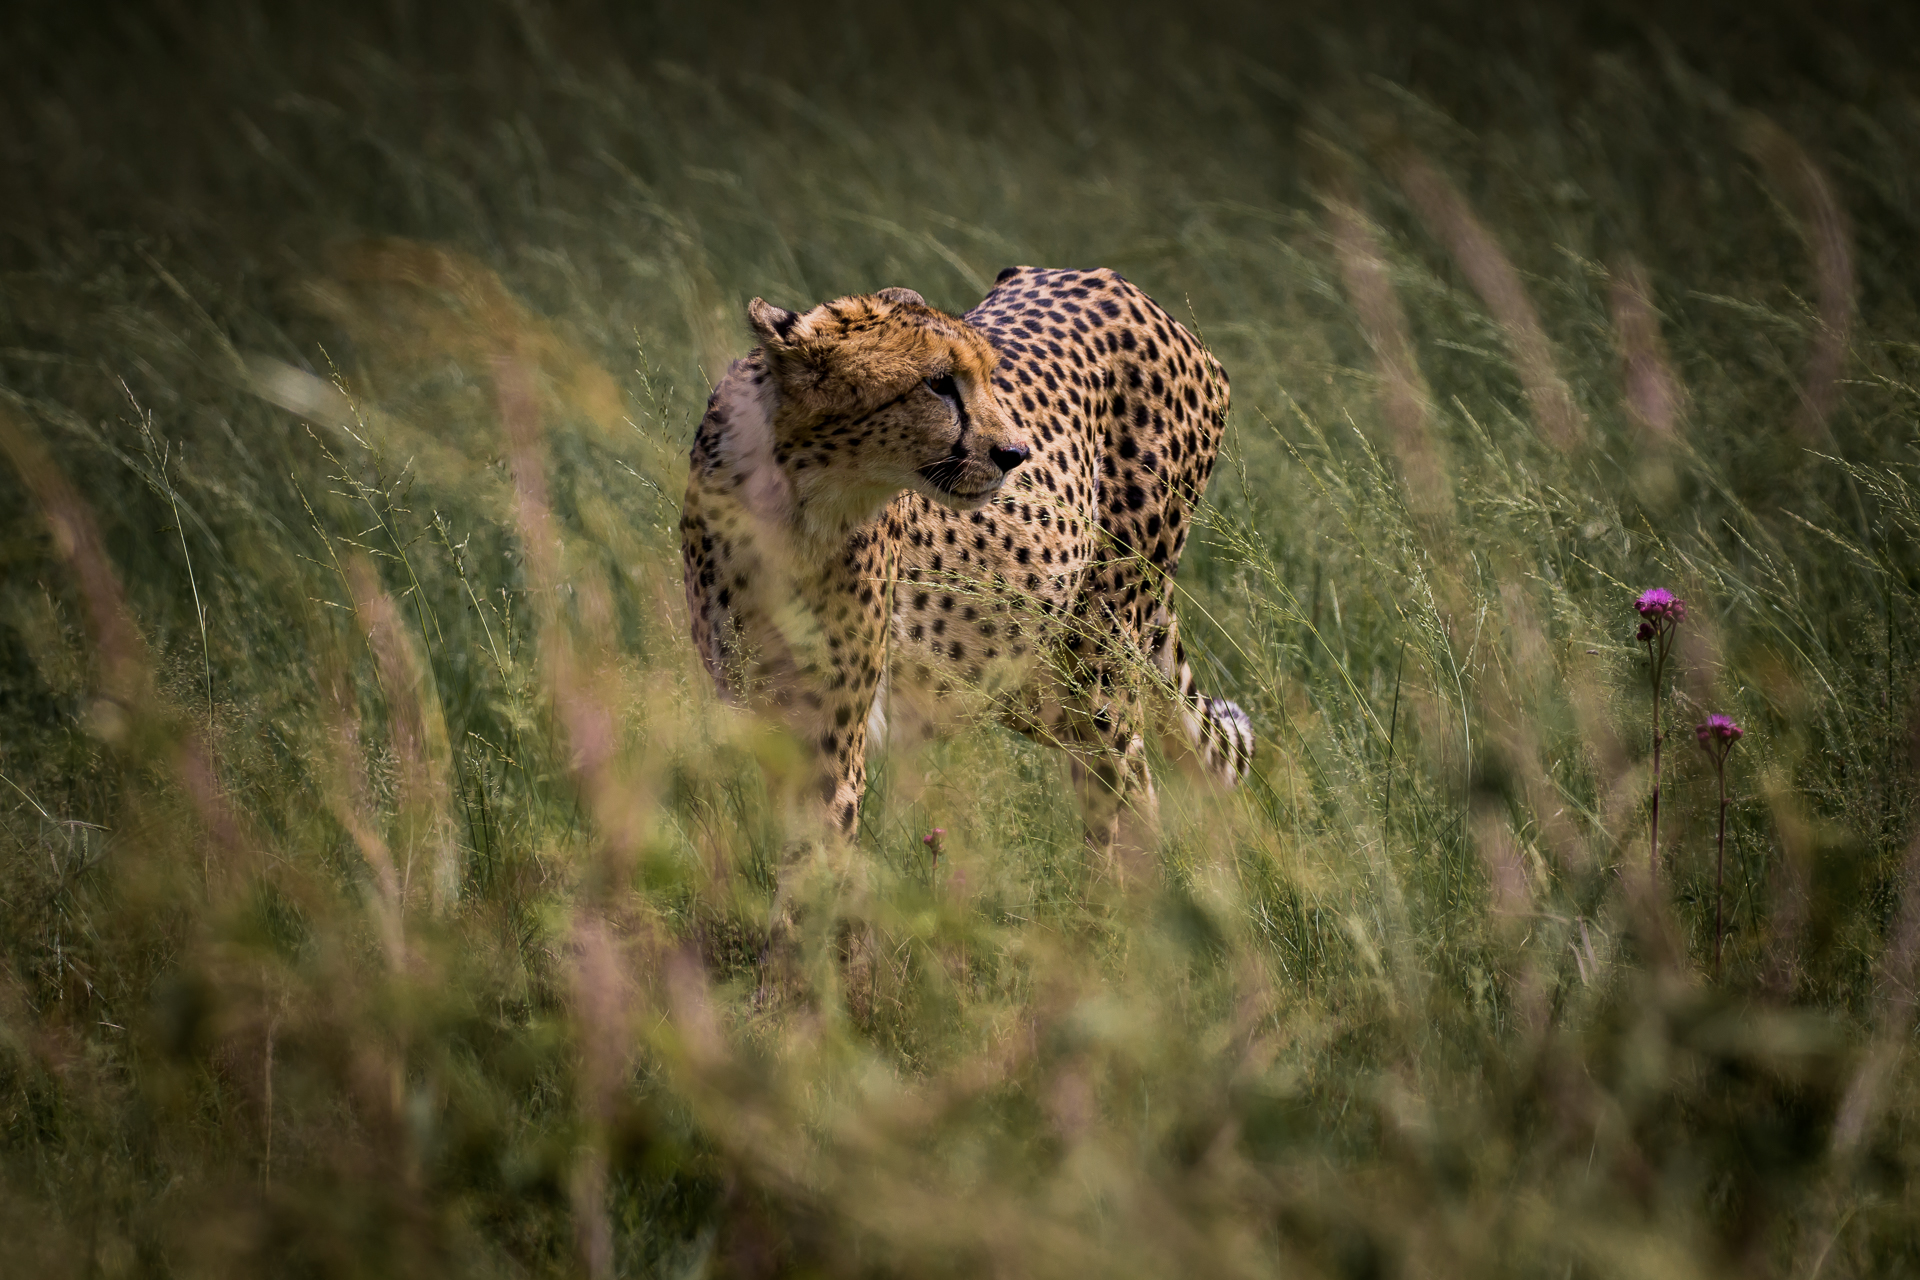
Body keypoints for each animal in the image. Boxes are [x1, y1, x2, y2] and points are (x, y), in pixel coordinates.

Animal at [683, 266, 1251, 855]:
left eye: (986, 376)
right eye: (938, 383)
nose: (1015, 454)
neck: (794, 499)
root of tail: (1121, 285)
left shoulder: (831, 744)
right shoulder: (767, 721)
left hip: (1094, 665)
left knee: (1117, 784)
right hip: (1030, 678)